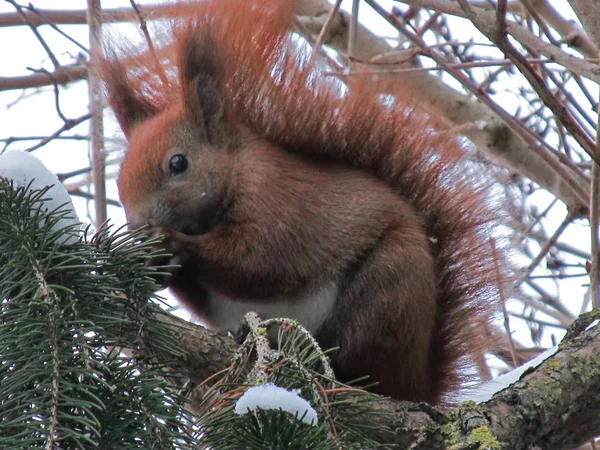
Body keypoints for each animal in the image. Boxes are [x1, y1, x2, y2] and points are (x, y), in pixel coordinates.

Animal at [101, 0, 504, 404]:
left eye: (178, 164)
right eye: (118, 183)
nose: (139, 226)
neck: (237, 172)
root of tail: (418, 384)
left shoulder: (280, 203)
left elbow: (257, 262)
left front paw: (175, 243)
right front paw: (149, 259)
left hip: (387, 289)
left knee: (359, 355)